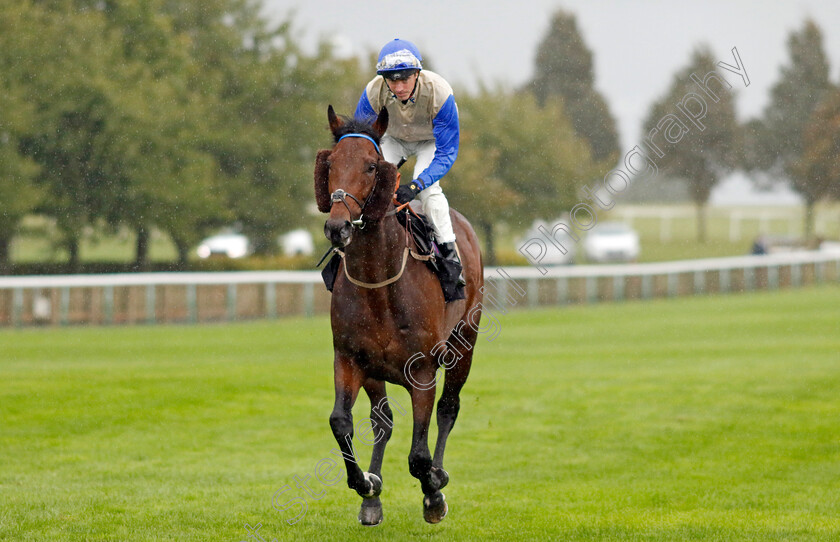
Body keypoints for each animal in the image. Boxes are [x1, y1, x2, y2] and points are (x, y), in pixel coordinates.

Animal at [314, 105, 486, 528]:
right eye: (331, 164)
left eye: (372, 166)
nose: (338, 226)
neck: (379, 283)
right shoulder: (350, 359)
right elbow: (341, 421)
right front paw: (367, 484)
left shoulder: (422, 370)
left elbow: (419, 455)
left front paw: (434, 492)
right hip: (377, 371)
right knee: (383, 420)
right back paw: (372, 500)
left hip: (465, 343)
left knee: (449, 408)